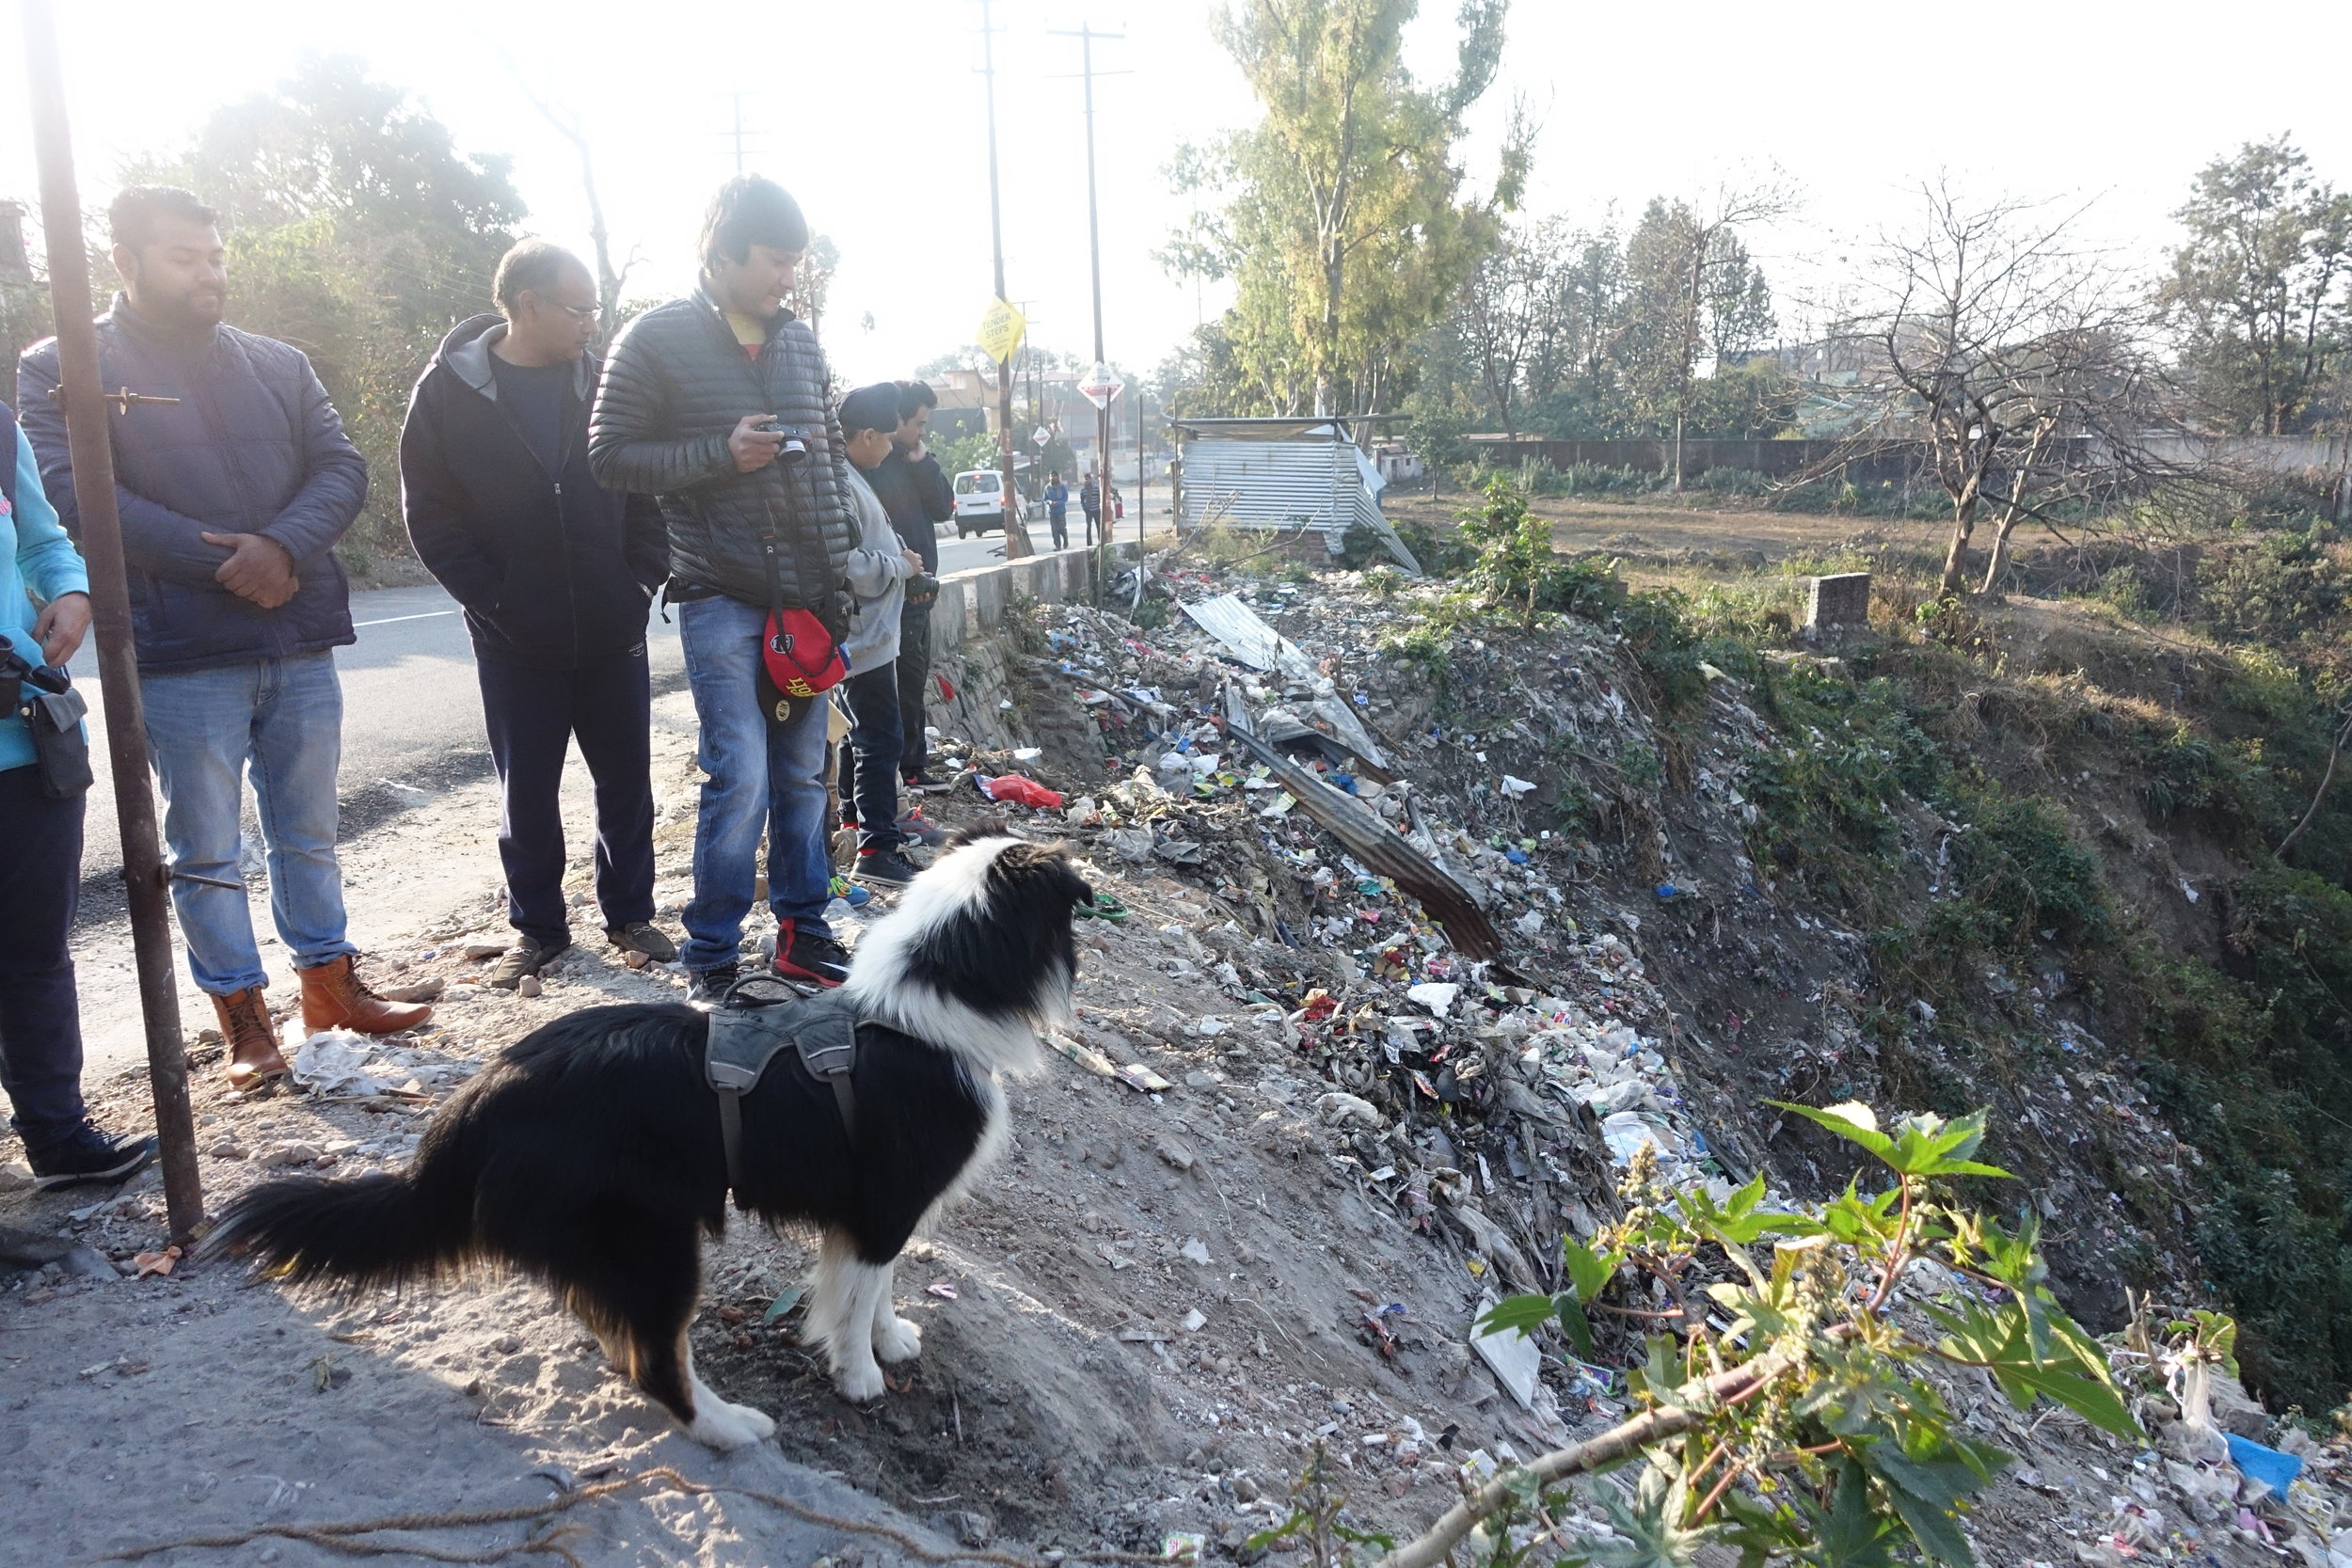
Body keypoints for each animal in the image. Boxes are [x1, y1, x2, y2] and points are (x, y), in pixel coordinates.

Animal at [207, 827, 1087, 1457]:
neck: (930, 1003)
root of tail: (474, 1100)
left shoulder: (878, 1211)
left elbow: (877, 1287)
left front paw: (891, 1340)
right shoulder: (884, 1203)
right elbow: (861, 1290)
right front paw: (860, 1374)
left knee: (623, 1333)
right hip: (654, 1238)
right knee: (656, 1358)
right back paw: (731, 1427)